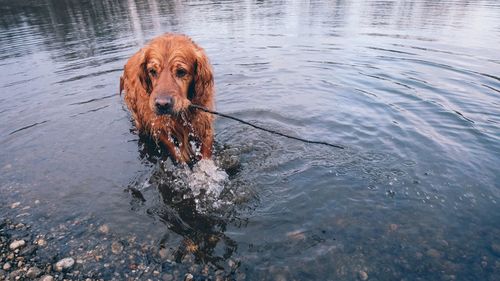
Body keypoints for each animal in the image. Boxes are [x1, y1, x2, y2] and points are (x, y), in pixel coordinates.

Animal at [122, 33, 216, 163]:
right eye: (152, 71)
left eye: (181, 71)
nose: (162, 104)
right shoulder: (159, 126)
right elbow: (177, 153)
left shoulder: (204, 119)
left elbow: (206, 151)